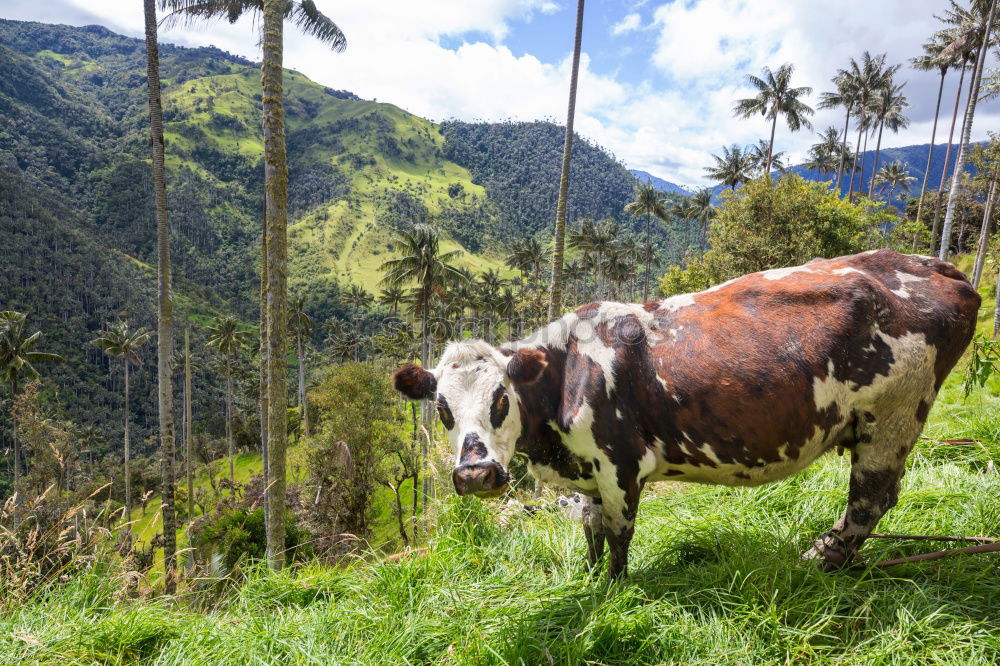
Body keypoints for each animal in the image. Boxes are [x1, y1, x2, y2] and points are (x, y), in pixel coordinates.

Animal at [390, 249, 976, 576]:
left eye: (501, 397)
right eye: (442, 410)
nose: (475, 473)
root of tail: (931, 264)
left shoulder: (621, 465)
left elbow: (619, 533)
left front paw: (614, 588)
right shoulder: (588, 473)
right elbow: (592, 529)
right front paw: (589, 576)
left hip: (894, 417)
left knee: (870, 499)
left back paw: (822, 560)